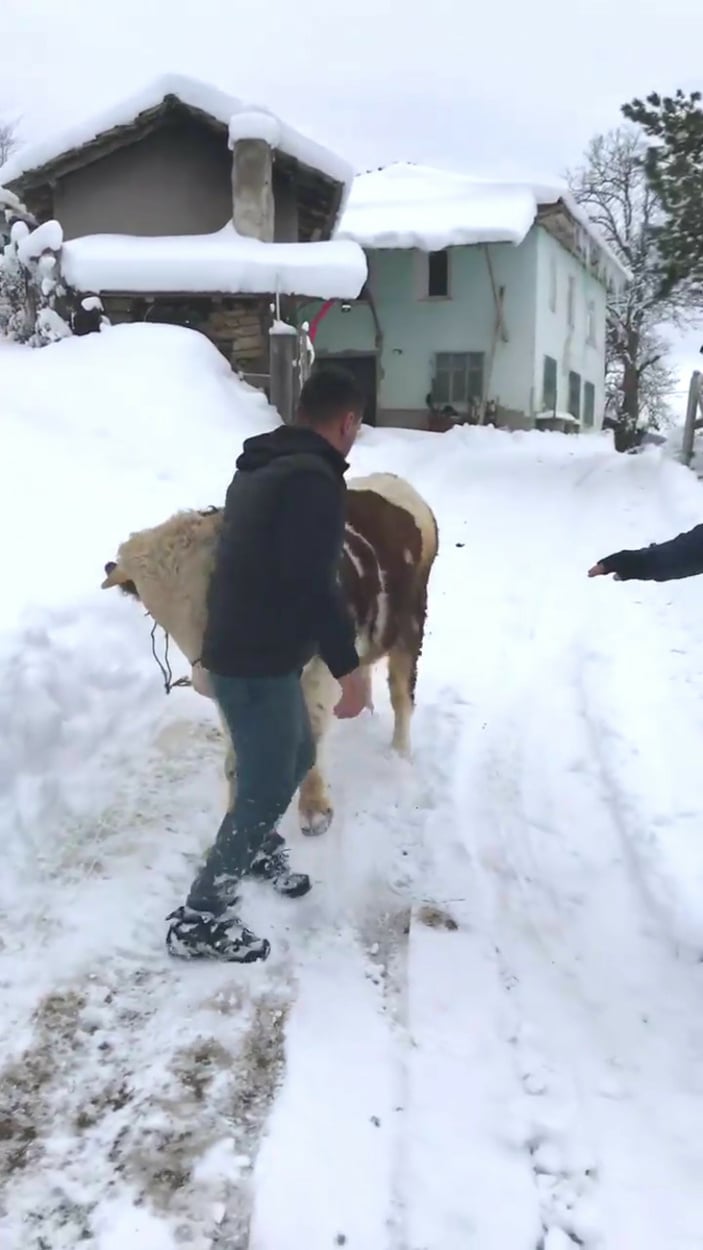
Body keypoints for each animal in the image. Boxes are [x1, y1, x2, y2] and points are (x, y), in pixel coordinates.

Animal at [101, 472, 435, 835]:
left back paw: (399, 753)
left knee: (401, 695)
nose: (204, 680)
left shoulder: (319, 675)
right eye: (157, 612)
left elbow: (314, 734)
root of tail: (392, 481)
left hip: (411, 627)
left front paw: (315, 810)